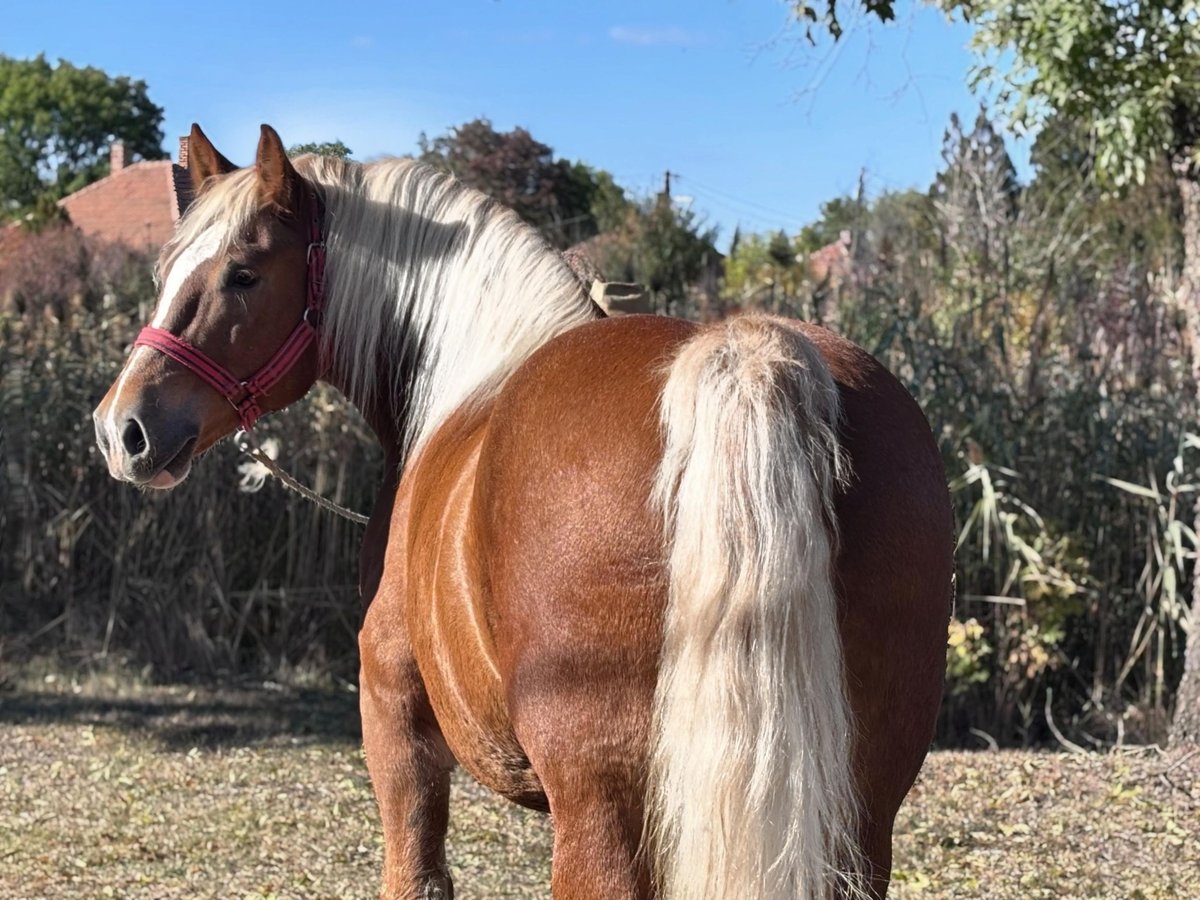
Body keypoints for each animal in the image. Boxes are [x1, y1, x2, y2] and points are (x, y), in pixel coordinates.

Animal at [93, 123, 953, 900]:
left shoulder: (395, 721)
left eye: (242, 274)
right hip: (856, 821)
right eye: (166, 268)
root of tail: (745, 354)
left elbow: (416, 875)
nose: (122, 427)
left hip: (604, 817)